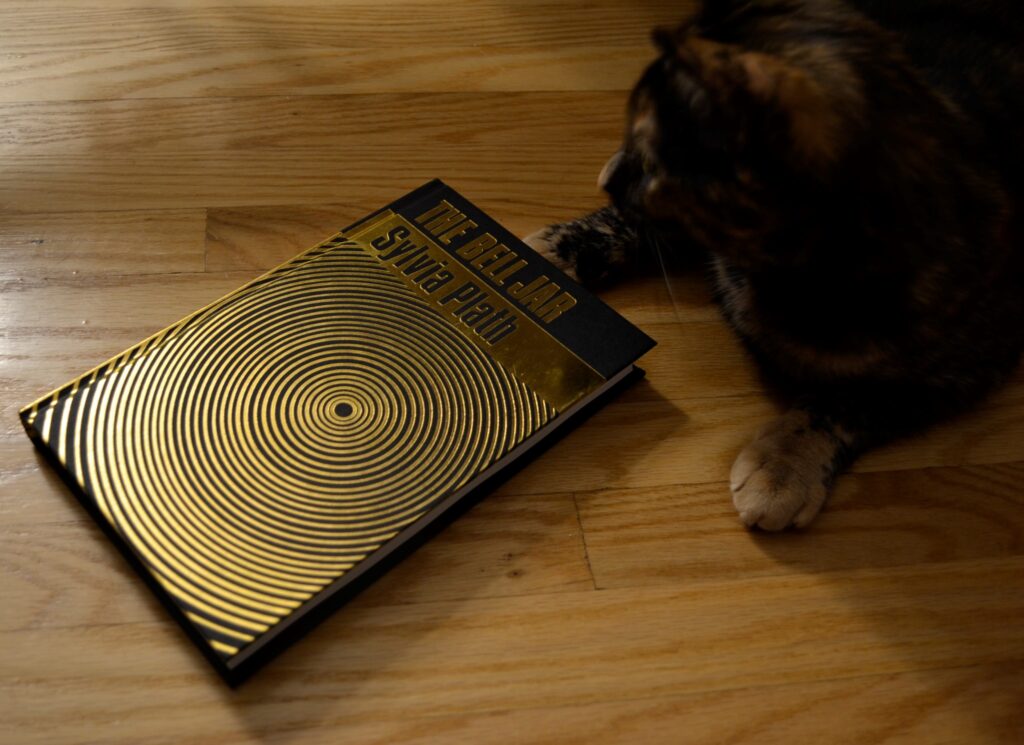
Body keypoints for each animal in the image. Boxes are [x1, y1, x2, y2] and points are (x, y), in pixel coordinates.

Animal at [528, 0, 1024, 528]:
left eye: (653, 160)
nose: (611, 177)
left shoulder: (967, 370)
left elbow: (845, 406)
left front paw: (783, 470)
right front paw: (551, 255)